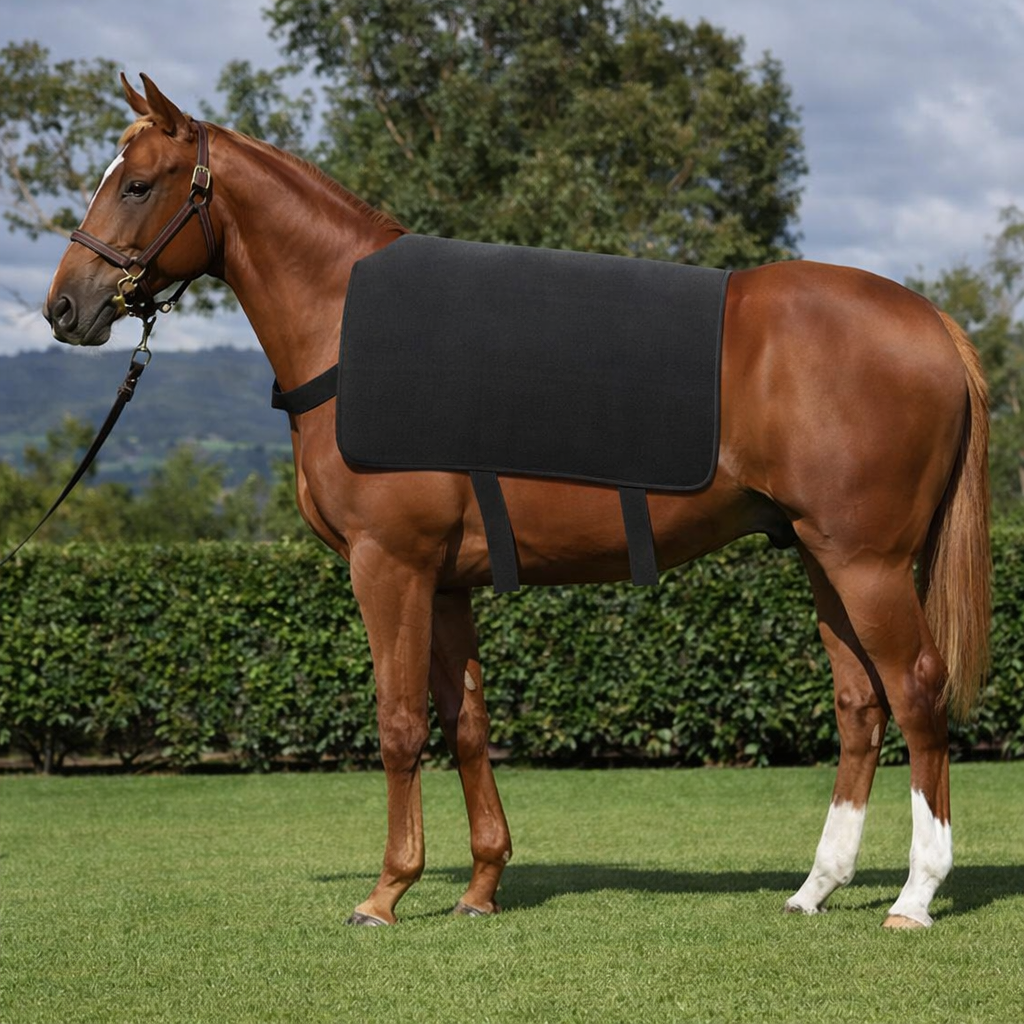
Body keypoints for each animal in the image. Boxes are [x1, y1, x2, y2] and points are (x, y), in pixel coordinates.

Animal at [43, 73, 990, 930]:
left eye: (137, 184)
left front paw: (386, 894)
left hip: (867, 563)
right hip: (820, 555)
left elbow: (398, 723)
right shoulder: (445, 582)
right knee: (861, 705)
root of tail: (933, 325)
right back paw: (815, 888)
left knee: (916, 690)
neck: (347, 327)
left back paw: (914, 896)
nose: (65, 307)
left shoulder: (388, 566)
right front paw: (479, 886)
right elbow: (466, 722)